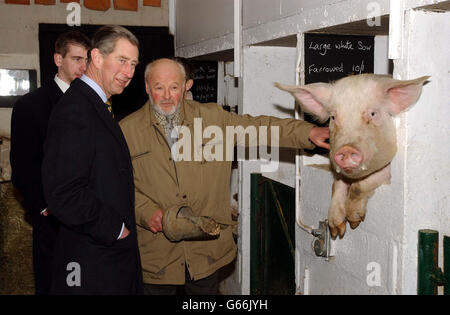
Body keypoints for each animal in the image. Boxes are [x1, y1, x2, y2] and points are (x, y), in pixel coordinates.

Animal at [276, 74, 430, 239]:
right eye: (333, 117)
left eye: (372, 114)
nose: (347, 149)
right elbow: (336, 183)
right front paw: (337, 229)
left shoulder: (387, 172)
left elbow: (358, 186)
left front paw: (354, 222)